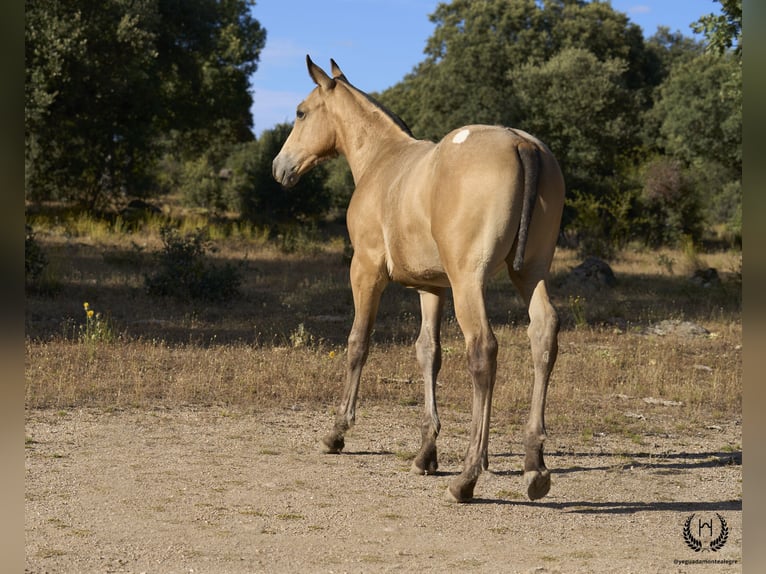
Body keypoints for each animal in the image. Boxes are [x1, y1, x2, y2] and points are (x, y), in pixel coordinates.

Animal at [272, 56, 568, 502]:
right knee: (543, 334)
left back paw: (467, 477)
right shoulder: (433, 287)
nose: (279, 167)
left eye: (301, 113)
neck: (382, 160)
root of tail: (522, 145)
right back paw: (535, 466)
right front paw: (427, 452)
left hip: (470, 283)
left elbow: (358, 343)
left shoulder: (366, 271)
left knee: (483, 350)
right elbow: (429, 353)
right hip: (528, 273)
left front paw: (337, 432)